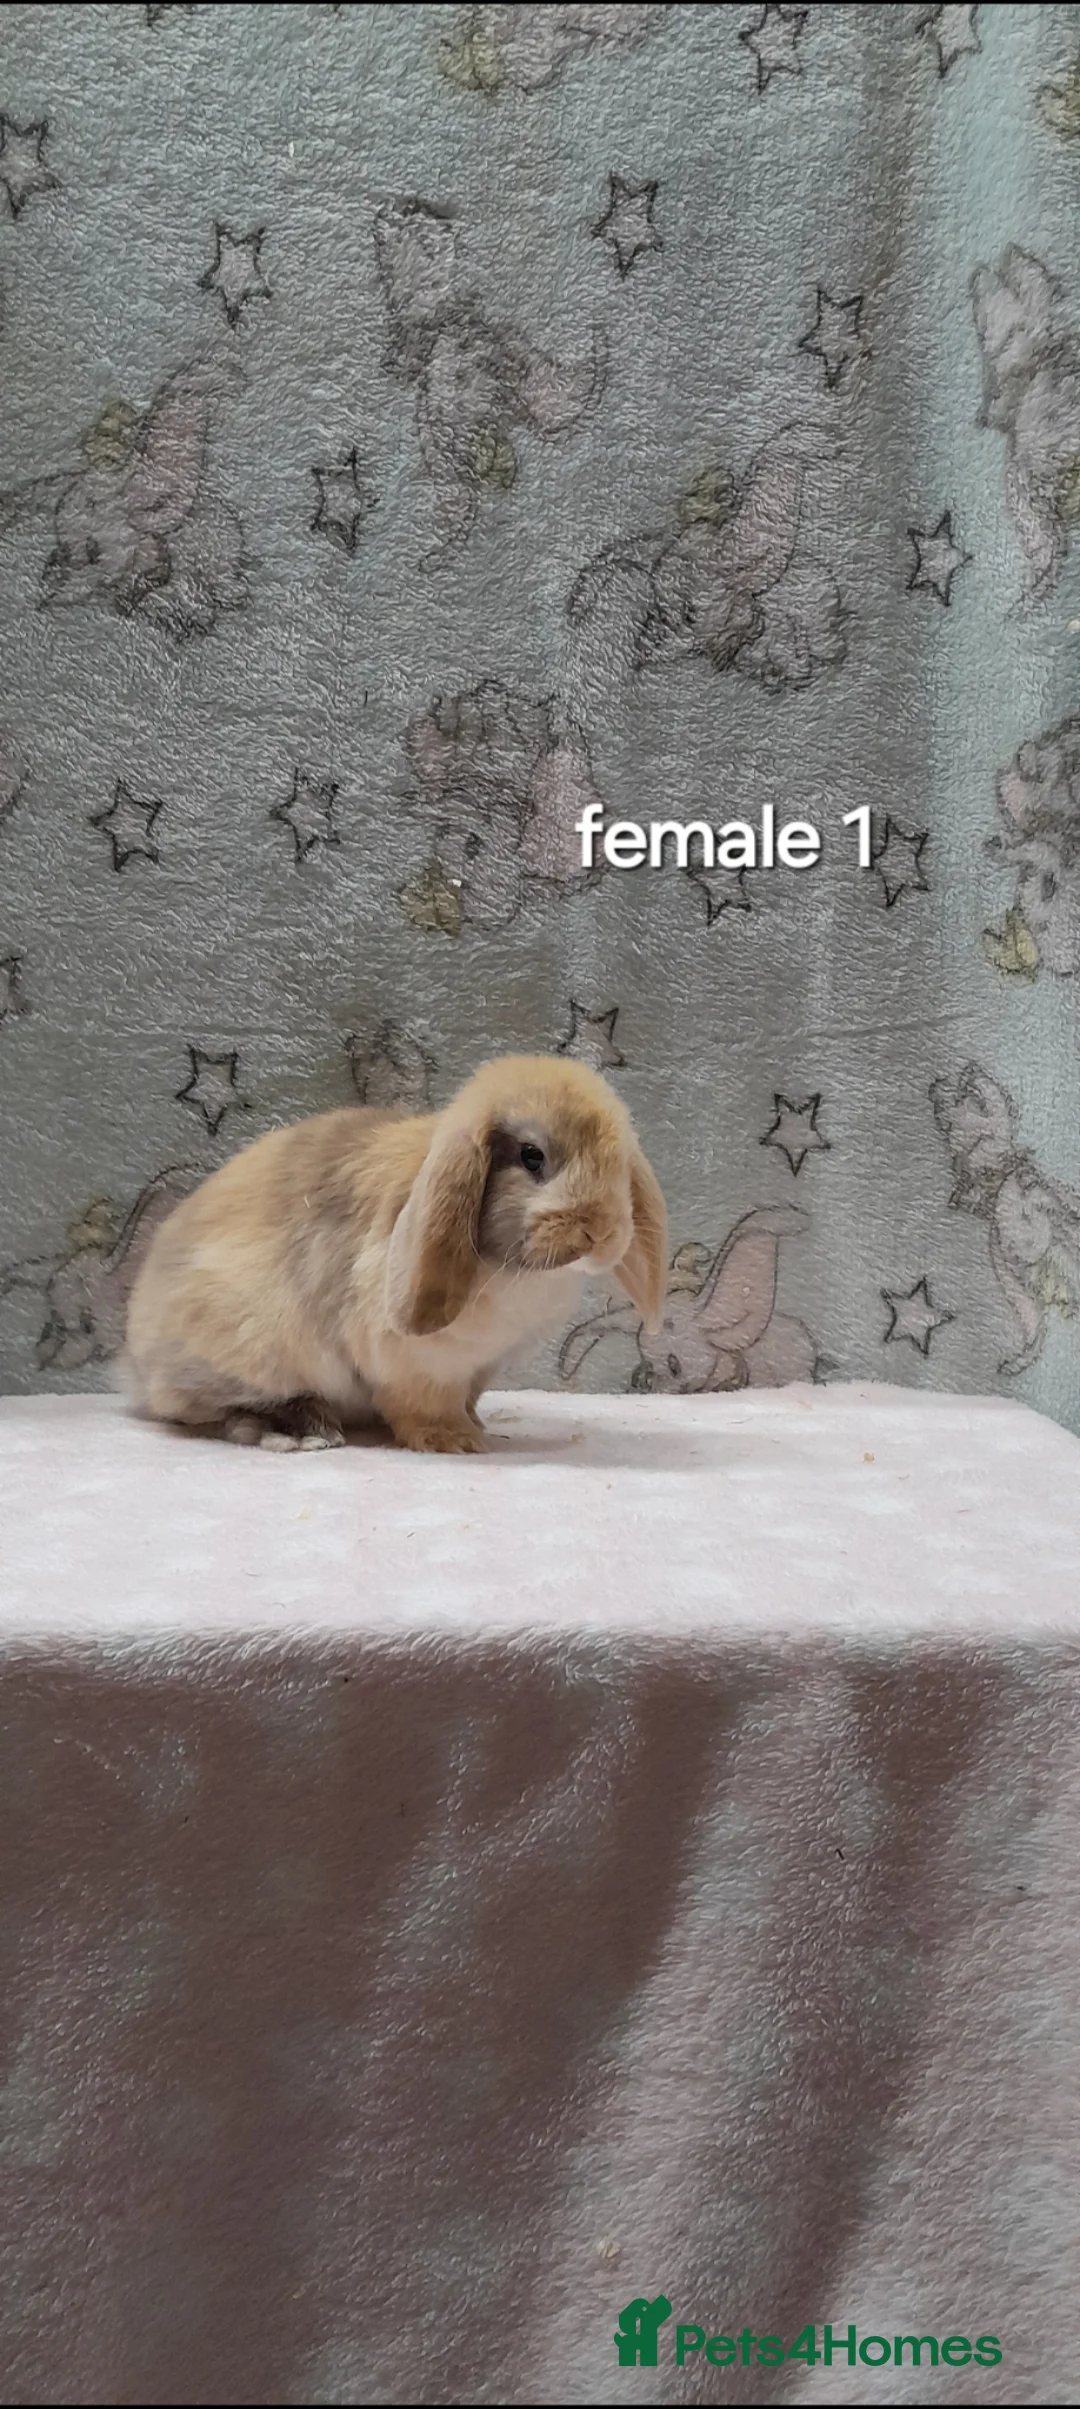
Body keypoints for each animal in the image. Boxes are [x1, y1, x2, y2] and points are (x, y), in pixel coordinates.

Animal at [122, 1054, 667, 1455]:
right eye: (532, 1157)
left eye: (619, 1162)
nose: (600, 1232)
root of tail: (137, 1360)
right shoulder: (418, 1364)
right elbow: (423, 1405)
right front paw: (456, 1441)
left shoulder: (481, 1366)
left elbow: (468, 1398)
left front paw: (479, 1426)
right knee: (208, 1410)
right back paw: (302, 1430)